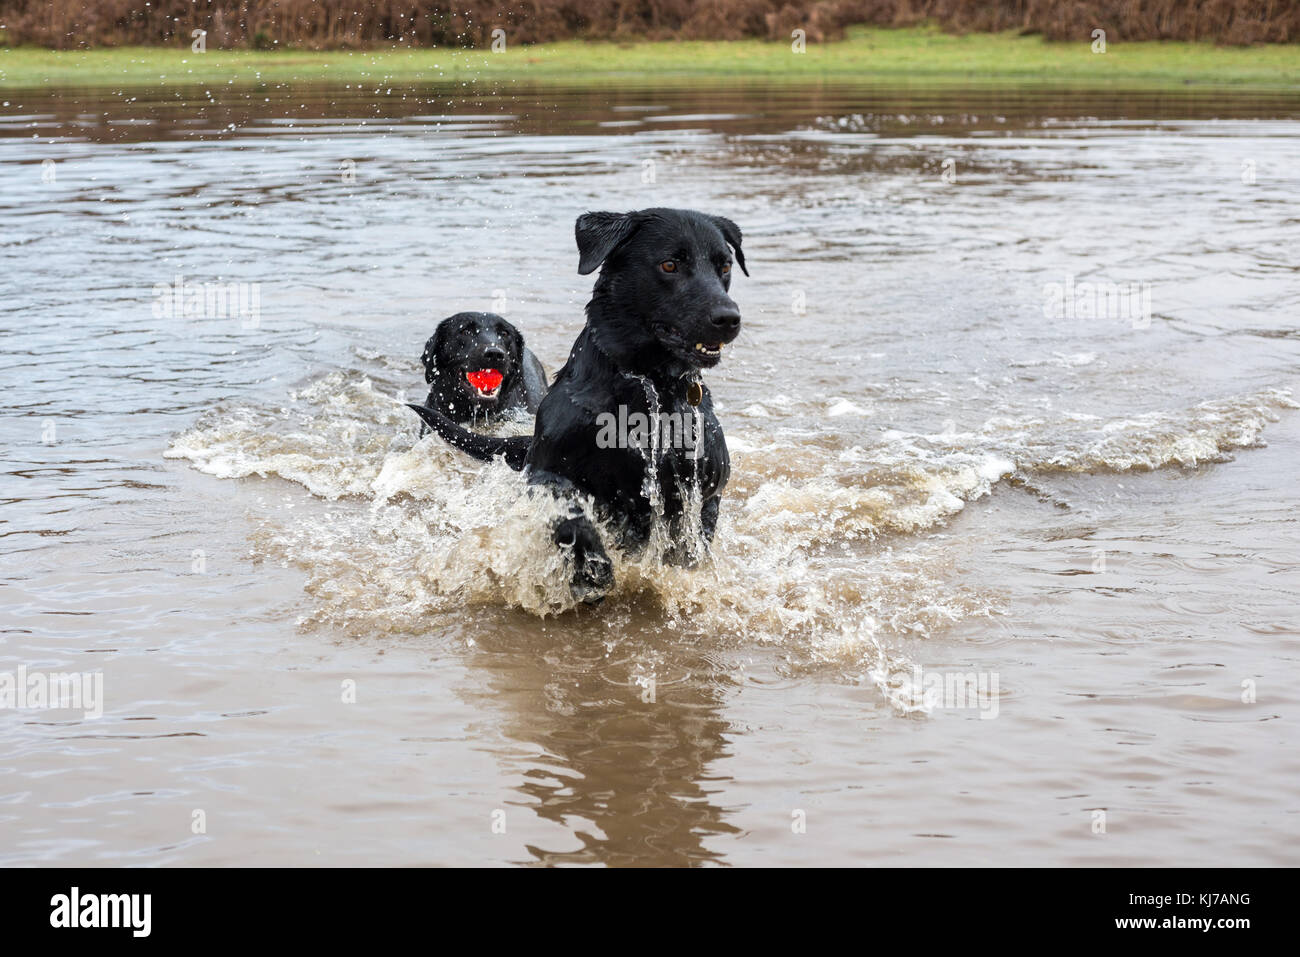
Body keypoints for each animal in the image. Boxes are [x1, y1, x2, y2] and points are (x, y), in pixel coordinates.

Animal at [408, 210, 754, 600]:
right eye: (670, 264)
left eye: (725, 266)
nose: (728, 318)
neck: (648, 385)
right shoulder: (545, 474)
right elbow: (570, 516)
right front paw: (592, 570)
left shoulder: (704, 489)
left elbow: (687, 546)